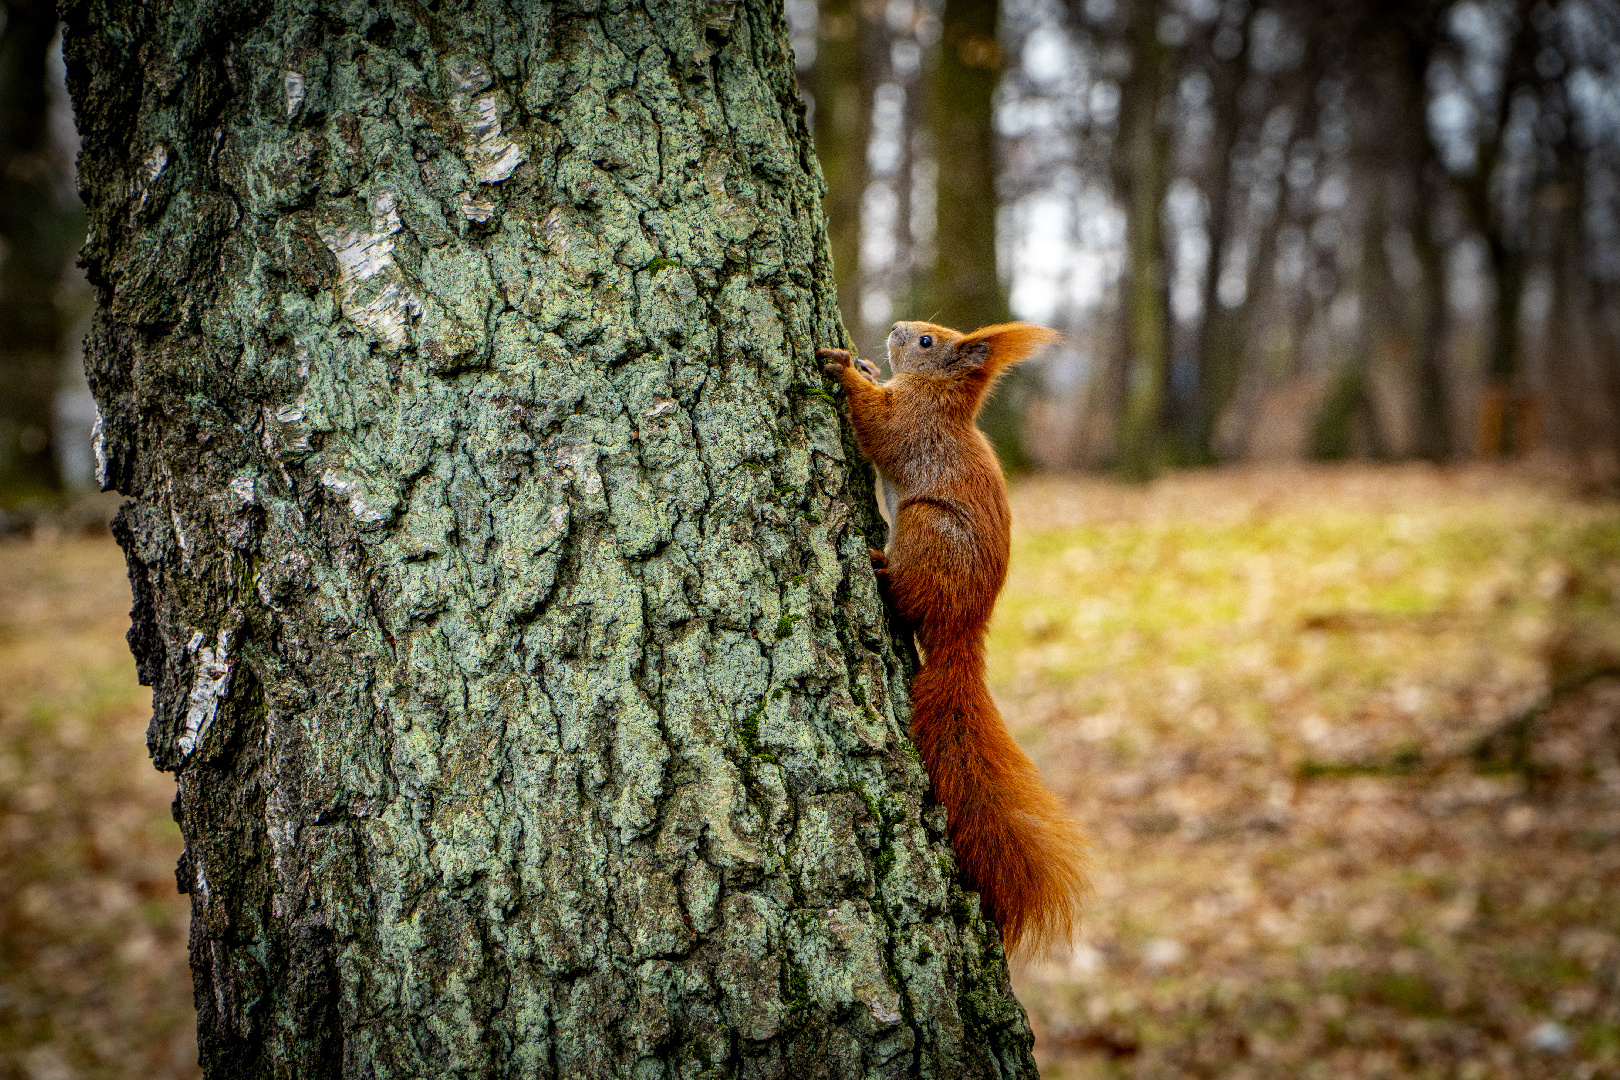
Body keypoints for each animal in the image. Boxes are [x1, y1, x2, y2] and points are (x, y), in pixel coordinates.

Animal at [816, 320, 1095, 952]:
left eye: (926, 342)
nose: (896, 329)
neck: (940, 398)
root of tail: (961, 631)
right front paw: (866, 367)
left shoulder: (914, 427)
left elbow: (881, 427)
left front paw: (844, 370)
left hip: (926, 527)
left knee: (904, 597)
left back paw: (878, 565)